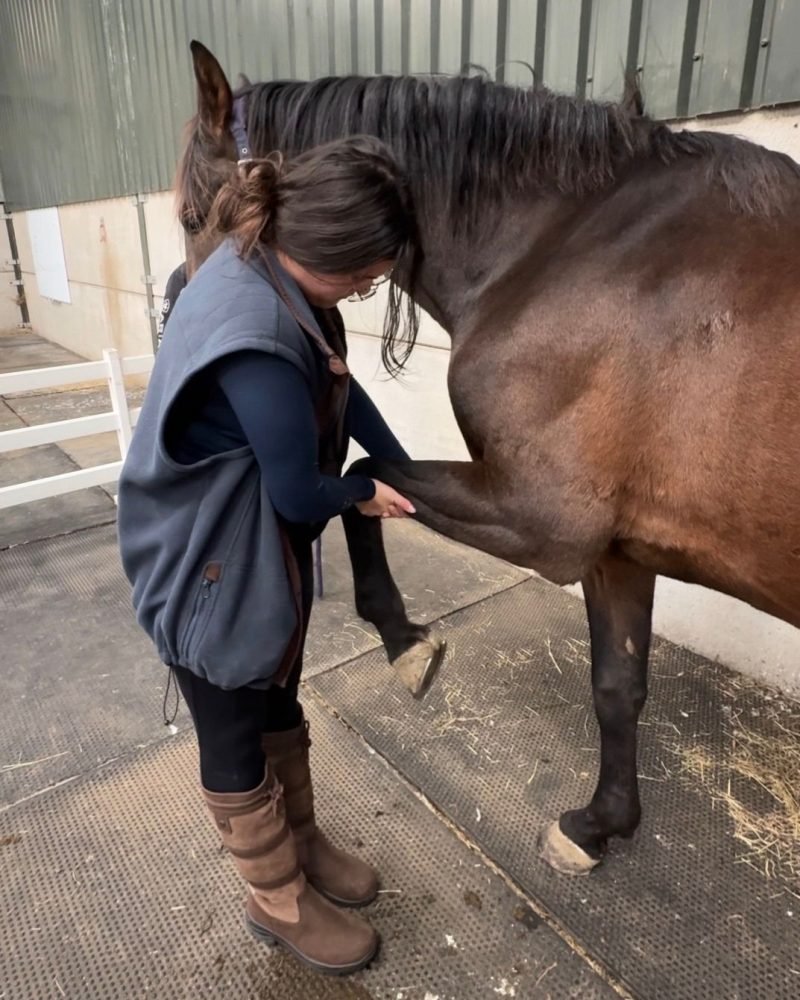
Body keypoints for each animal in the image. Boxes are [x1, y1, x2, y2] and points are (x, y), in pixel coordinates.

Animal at [174, 40, 800, 877]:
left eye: (188, 214)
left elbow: (362, 479)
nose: (177, 317)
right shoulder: (616, 548)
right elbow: (618, 685)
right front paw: (598, 825)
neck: (567, 246)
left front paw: (405, 642)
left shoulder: (540, 522)